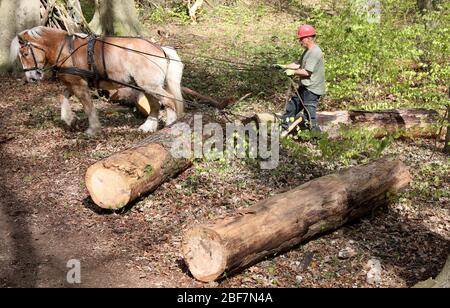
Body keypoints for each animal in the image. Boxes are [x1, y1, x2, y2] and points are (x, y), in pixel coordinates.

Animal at [9, 26, 184, 136]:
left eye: (25, 54)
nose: (31, 77)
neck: (66, 49)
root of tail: (160, 49)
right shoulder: (74, 82)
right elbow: (62, 96)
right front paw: (69, 119)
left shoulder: (79, 85)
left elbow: (88, 107)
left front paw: (92, 129)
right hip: (145, 86)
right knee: (155, 105)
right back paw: (148, 127)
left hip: (150, 85)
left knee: (169, 100)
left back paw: (169, 126)